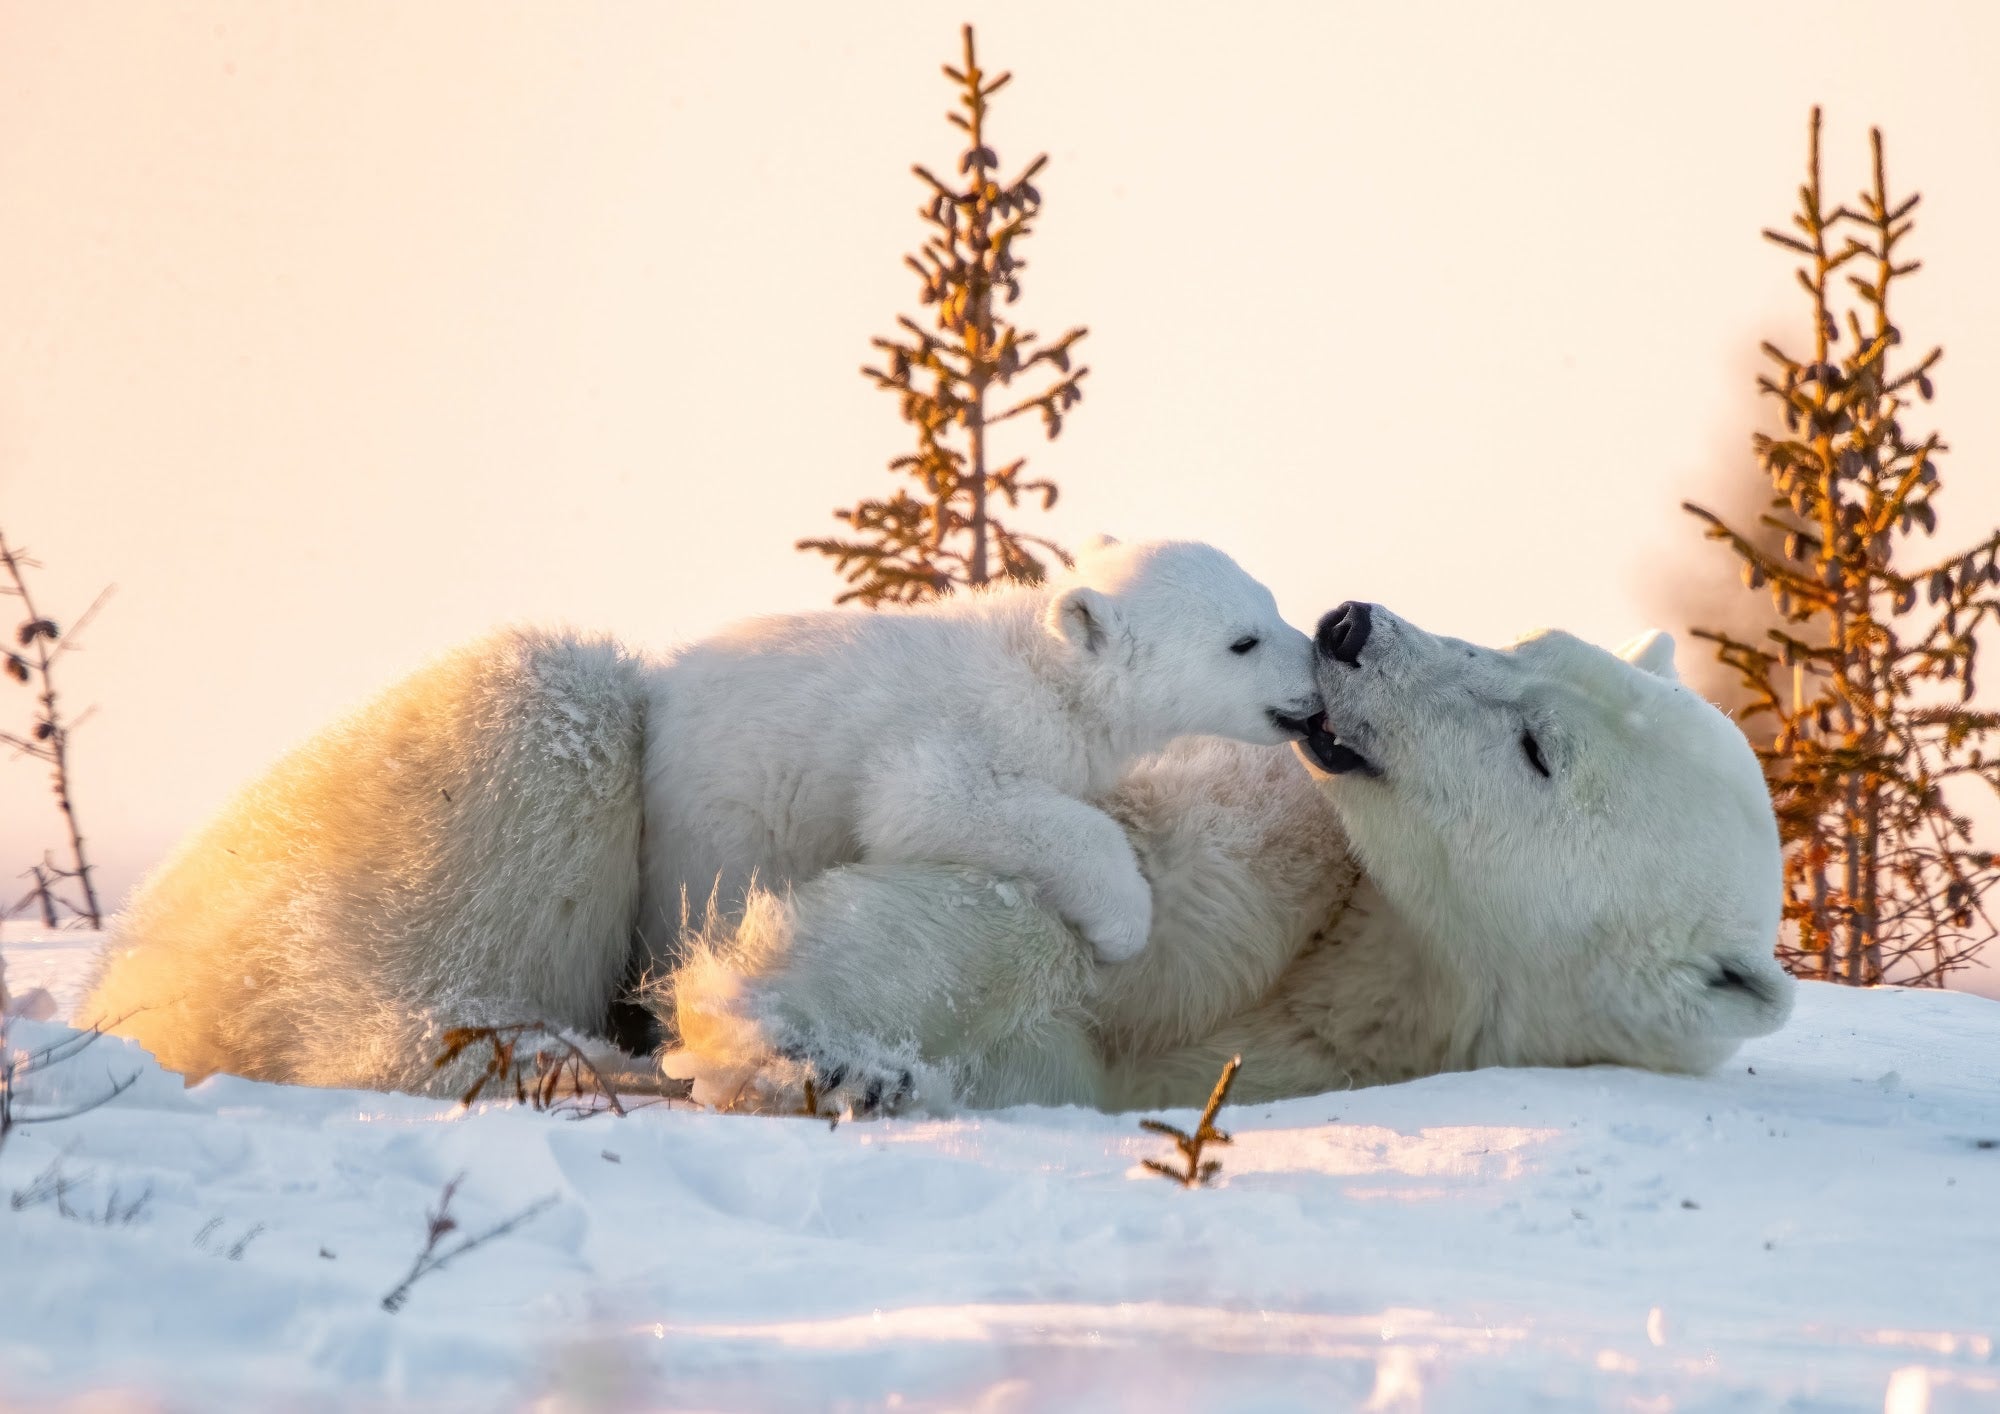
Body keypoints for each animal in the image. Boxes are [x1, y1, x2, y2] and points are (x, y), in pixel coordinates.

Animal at [639, 537, 1319, 966]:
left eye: (1272, 603)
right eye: (1244, 641)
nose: (1317, 665)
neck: (1046, 669)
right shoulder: (960, 728)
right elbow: (927, 802)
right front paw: (1121, 926)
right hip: (722, 822)